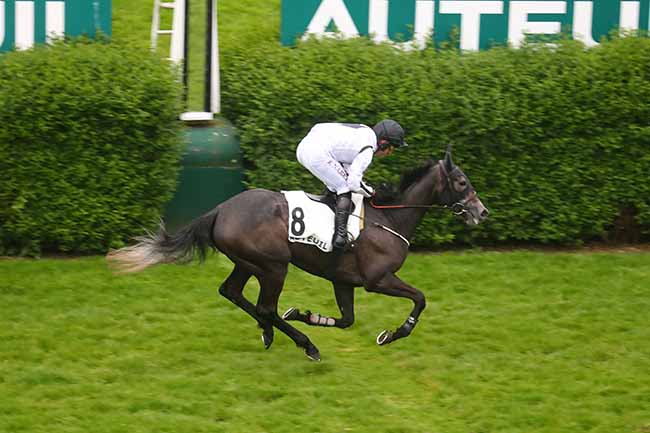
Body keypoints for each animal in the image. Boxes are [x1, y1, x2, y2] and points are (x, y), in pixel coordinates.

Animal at [109, 145, 488, 358]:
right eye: (462, 182)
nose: (481, 212)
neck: (388, 217)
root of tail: (219, 210)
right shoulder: (378, 279)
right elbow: (420, 299)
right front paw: (395, 334)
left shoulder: (343, 280)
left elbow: (347, 320)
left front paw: (306, 314)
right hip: (274, 266)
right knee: (266, 306)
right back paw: (305, 344)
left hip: (247, 262)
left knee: (232, 292)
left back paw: (268, 331)